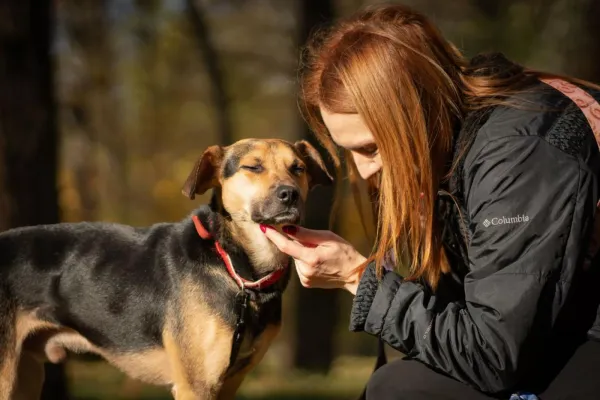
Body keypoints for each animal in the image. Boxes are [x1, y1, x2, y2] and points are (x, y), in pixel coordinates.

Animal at [0, 137, 332, 396]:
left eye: (298, 168)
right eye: (253, 167)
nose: (290, 194)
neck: (236, 269)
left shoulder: (230, 381)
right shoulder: (196, 386)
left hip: (26, 375)